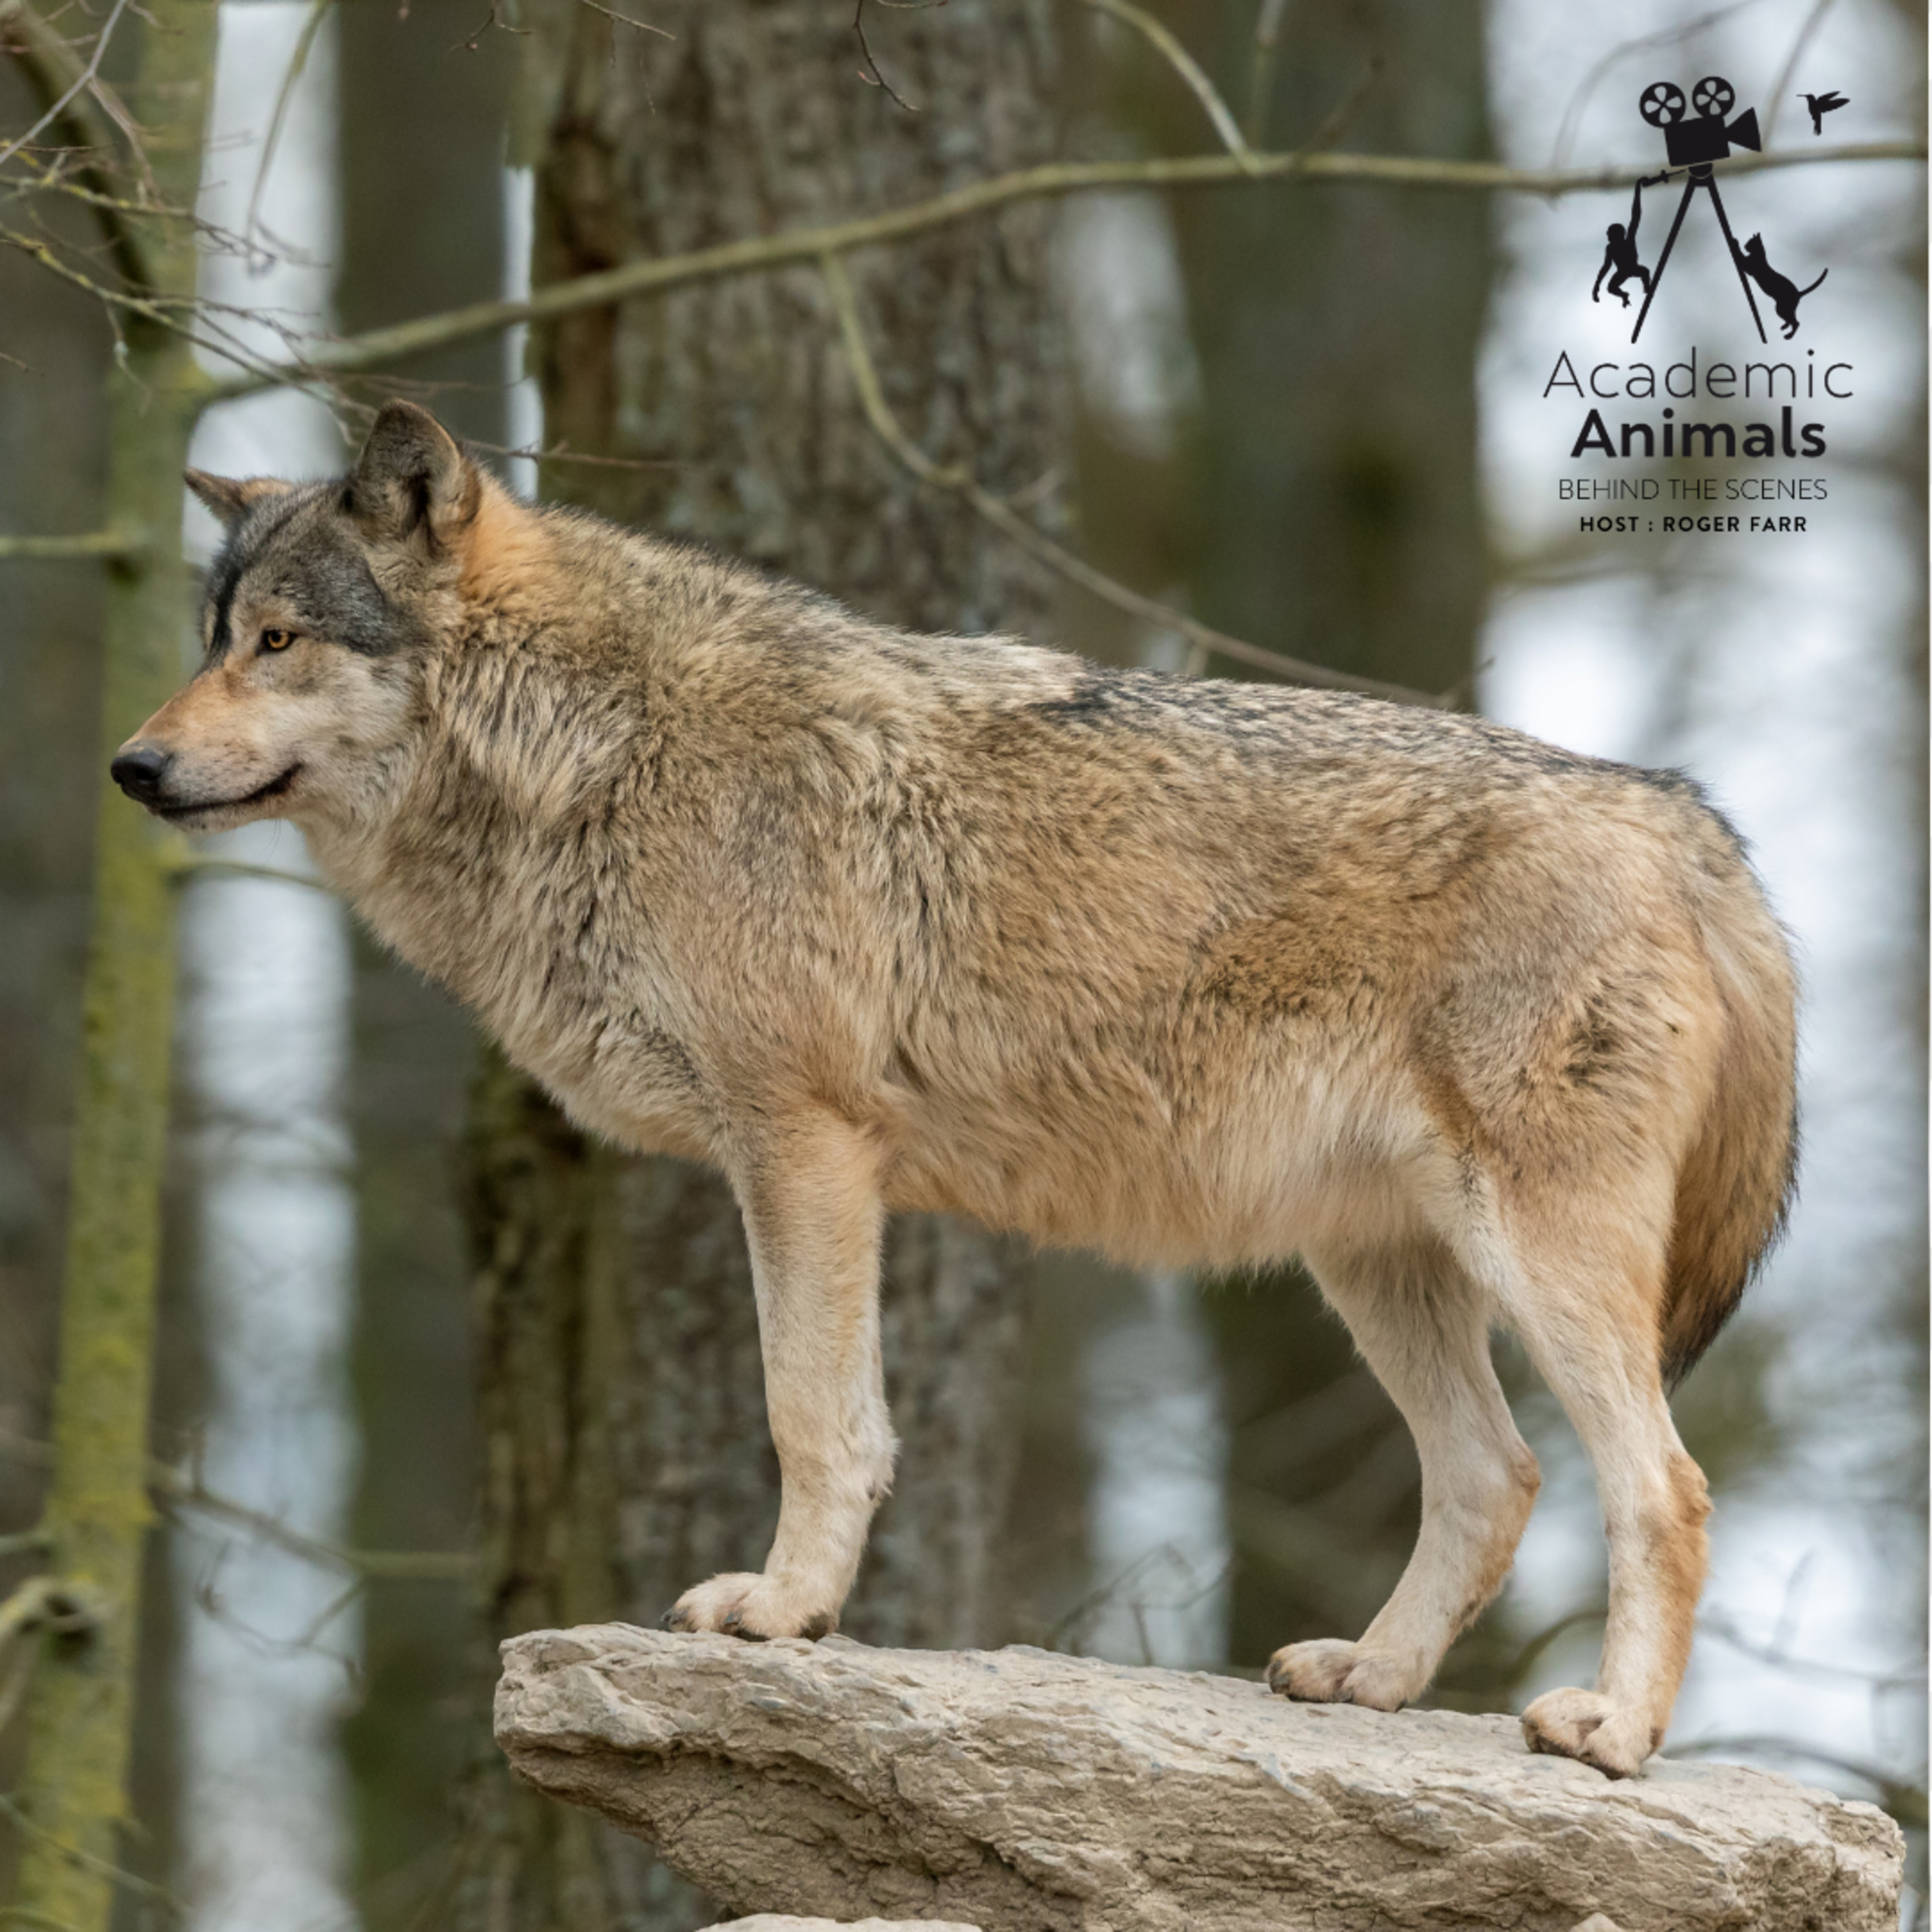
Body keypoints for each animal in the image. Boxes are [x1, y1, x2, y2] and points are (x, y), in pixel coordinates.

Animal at [115, 402, 1797, 1779]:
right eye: (210, 636)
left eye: (280, 641)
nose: (132, 767)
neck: (592, 750)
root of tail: (1685, 818)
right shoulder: (796, 1158)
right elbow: (837, 1415)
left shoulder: (798, 1143)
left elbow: (811, 1415)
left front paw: (779, 1611)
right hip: (1375, 1265)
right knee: (1497, 1475)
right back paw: (1372, 1679)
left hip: (1530, 1257)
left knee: (1664, 1486)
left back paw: (1611, 1735)